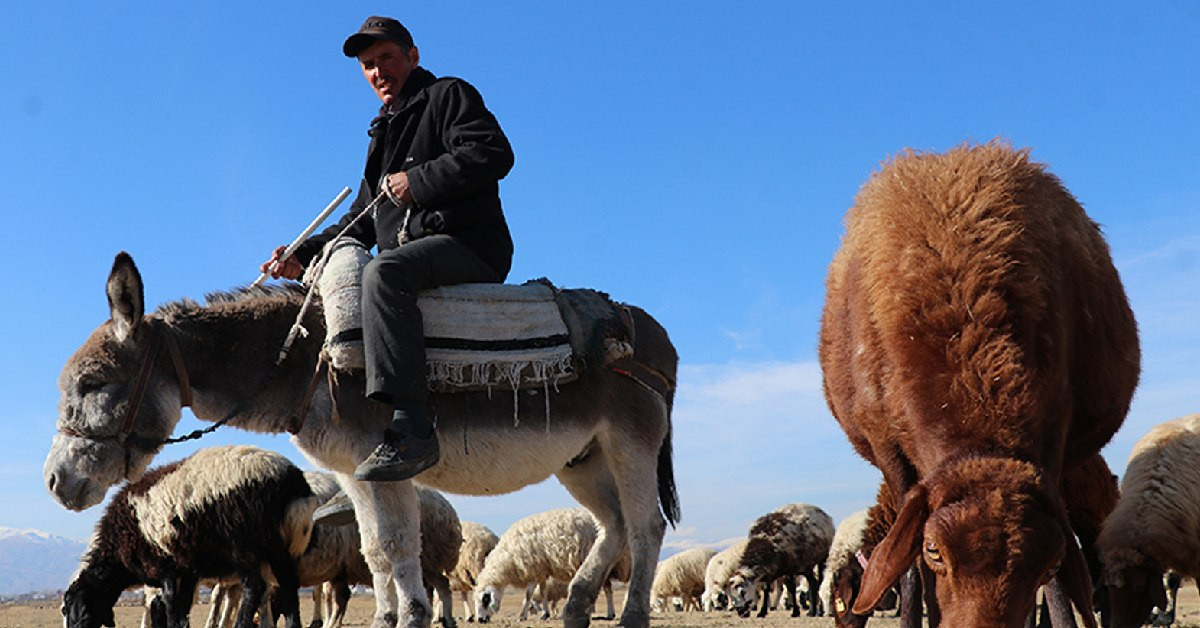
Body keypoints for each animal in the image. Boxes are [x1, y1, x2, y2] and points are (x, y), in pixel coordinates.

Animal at [62, 444, 316, 624]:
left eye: (69, 609)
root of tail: (293, 482)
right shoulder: (187, 571)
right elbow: (182, 611)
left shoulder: (166, 568)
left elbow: (172, 610)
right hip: (280, 549)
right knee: (289, 587)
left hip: (246, 545)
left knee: (255, 587)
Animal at [472, 511, 633, 624]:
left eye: (485, 599)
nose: (480, 620)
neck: (508, 558)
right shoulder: (542, 570)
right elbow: (543, 592)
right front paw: (545, 614)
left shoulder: (534, 567)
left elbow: (528, 594)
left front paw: (522, 616)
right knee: (608, 589)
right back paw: (610, 613)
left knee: (611, 589)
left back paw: (612, 613)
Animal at [820, 141, 1137, 628]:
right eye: (934, 550)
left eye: (1048, 562)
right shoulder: (889, 451)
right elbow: (909, 569)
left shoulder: (1054, 445)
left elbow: (1061, 584)